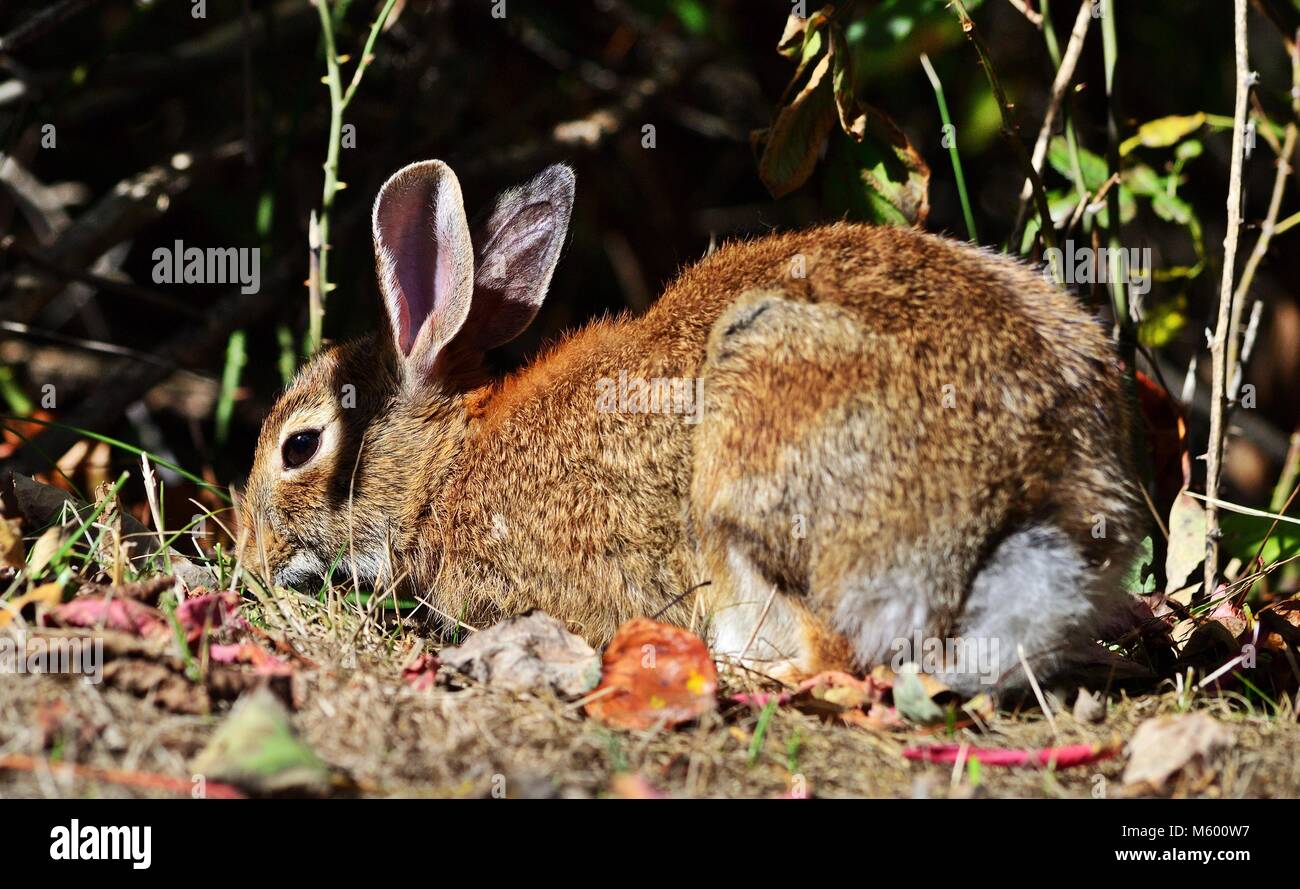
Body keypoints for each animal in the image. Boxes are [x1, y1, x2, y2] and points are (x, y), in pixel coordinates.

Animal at [241, 159, 1138, 696]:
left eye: (300, 446)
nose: (247, 558)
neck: (445, 465)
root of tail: (1033, 499)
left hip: (758, 466)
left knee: (833, 654)